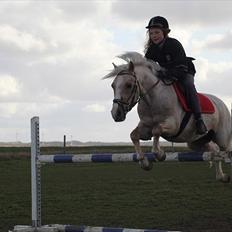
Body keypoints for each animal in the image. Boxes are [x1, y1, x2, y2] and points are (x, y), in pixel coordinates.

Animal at [104, 51, 231, 182]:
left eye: (128, 85)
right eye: (113, 85)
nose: (116, 113)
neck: (152, 99)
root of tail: (221, 103)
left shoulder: (173, 126)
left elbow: (156, 130)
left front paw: (160, 154)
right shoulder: (145, 127)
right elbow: (134, 135)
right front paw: (144, 162)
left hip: (222, 138)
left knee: (225, 150)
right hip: (196, 141)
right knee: (214, 151)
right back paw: (221, 176)